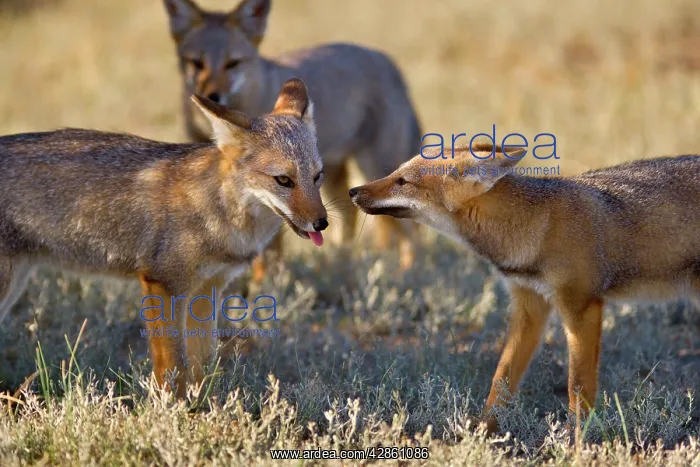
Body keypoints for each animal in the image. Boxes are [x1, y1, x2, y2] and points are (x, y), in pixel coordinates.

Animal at [0, 78, 327, 397]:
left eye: (317, 177)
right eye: (283, 180)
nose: (322, 223)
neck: (216, 208)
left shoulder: (207, 289)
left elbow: (202, 364)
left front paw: (204, 406)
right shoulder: (164, 284)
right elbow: (174, 366)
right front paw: (171, 408)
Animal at [163, 0, 421, 281]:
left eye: (233, 63)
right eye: (196, 63)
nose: (212, 95)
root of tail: (386, 59)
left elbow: (269, 251)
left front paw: (265, 284)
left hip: (372, 166)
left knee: (405, 227)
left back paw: (405, 272)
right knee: (352, 215)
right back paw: (340, 263)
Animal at [350, 141, 700, 433]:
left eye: (403, 181)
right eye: (393, 173)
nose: (353, 190)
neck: (537, 224)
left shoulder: (582, 307)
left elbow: (577, 386)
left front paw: (578, 440)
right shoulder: (529, 307)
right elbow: (501, 380)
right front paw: (482, 434)